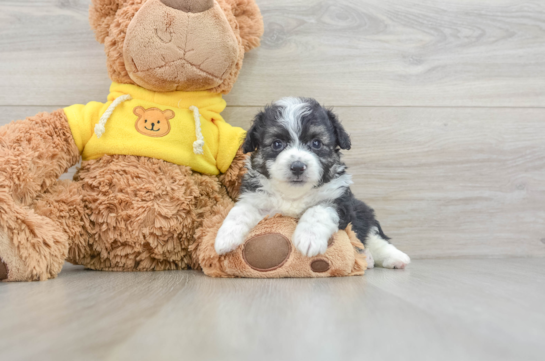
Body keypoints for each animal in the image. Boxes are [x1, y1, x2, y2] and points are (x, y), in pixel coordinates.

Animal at [215, 96, 410, 268]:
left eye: (316, 143)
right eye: (277, 144)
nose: (297, 166)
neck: (293, 195)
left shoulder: (338, 201)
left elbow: (317, 211)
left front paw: (309, 239)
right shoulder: (256, 197)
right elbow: (240, 211)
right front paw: (225, 237)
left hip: (363, 212)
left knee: (375, 239)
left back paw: (395, 258)